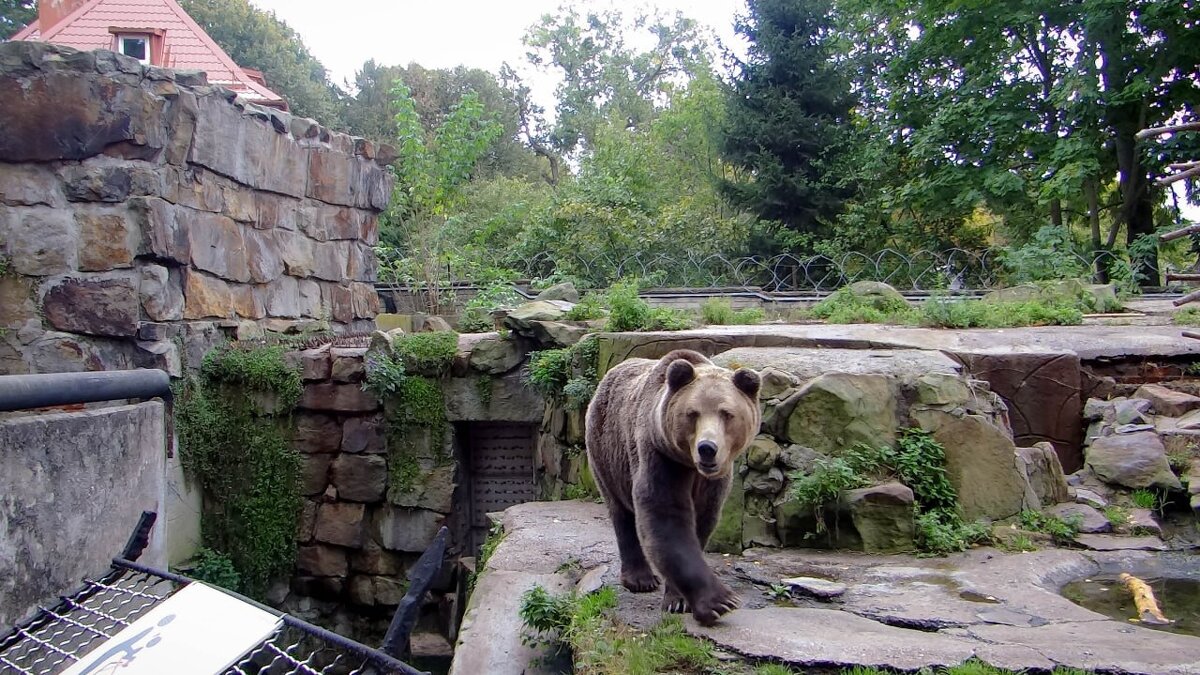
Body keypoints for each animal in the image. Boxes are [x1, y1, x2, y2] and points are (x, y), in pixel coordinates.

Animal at [585, 348, 763, 624]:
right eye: (693, 413)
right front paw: (720, 601)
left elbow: (702, 521)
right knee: (620, 511)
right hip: (606, 451)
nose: (707, 448)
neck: (690, 465)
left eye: (726, 413)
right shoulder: (660, 456)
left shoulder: (713, 482)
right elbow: (666, 517)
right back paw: (640, 579)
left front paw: (680, 600)